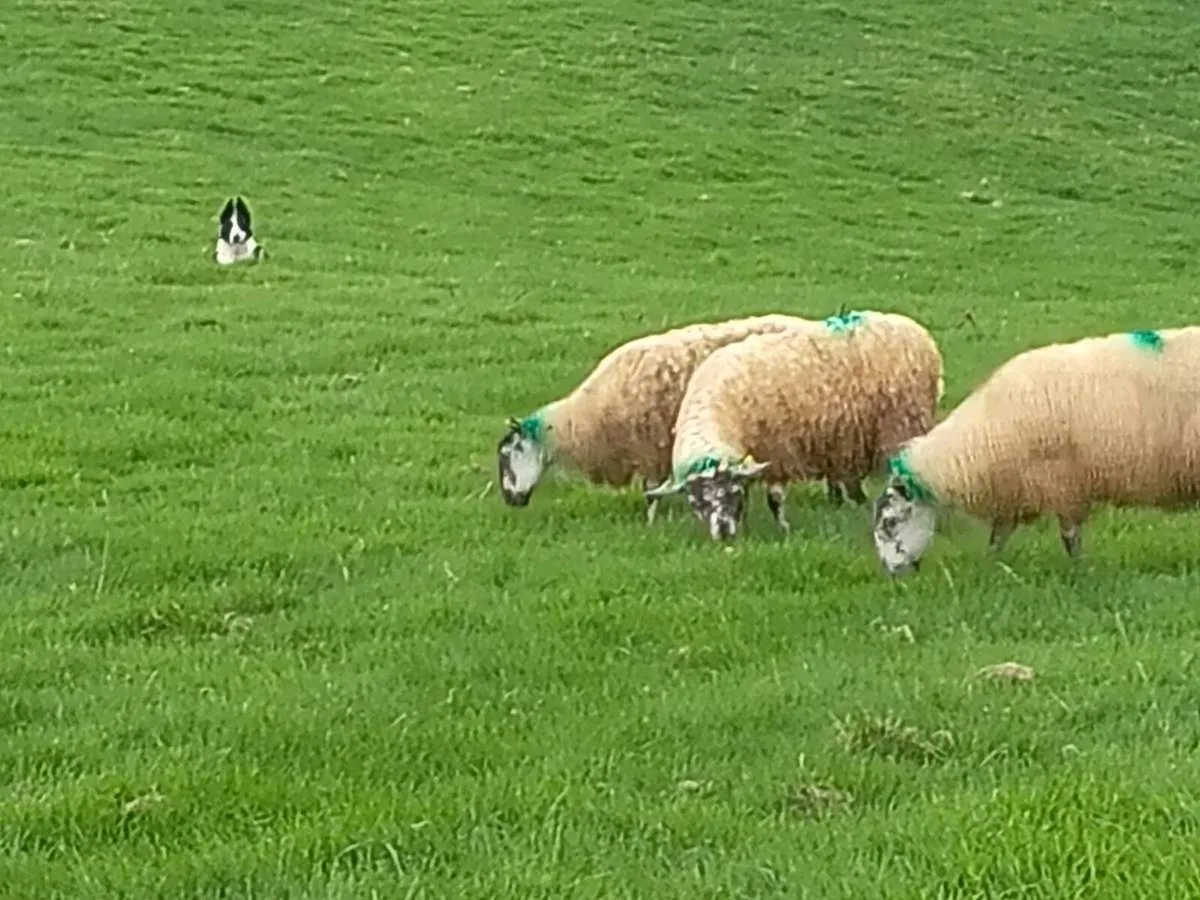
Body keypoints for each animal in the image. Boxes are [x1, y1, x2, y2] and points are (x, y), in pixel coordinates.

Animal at [497, 313, 839, 521]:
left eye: (508, 455)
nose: (511, 501)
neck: (581, 419)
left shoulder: (646, 447)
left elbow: (650, 492)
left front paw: (650, 523)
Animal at [645, 310, 944, 540]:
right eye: (696, 502)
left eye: (731, 492)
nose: (724, 534)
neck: (720, 405)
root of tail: (914, 329)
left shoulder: (777, 449)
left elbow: (775, 498)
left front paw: (784, 529)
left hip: (901, 424)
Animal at [871, 326, 1200, 576]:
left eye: (890, 522)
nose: (893, 573)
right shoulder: (1015, 488)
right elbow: (999, 535)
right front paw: (990, 566)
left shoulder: (1063, 483)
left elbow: (1069, 536)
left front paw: (1081, 570)